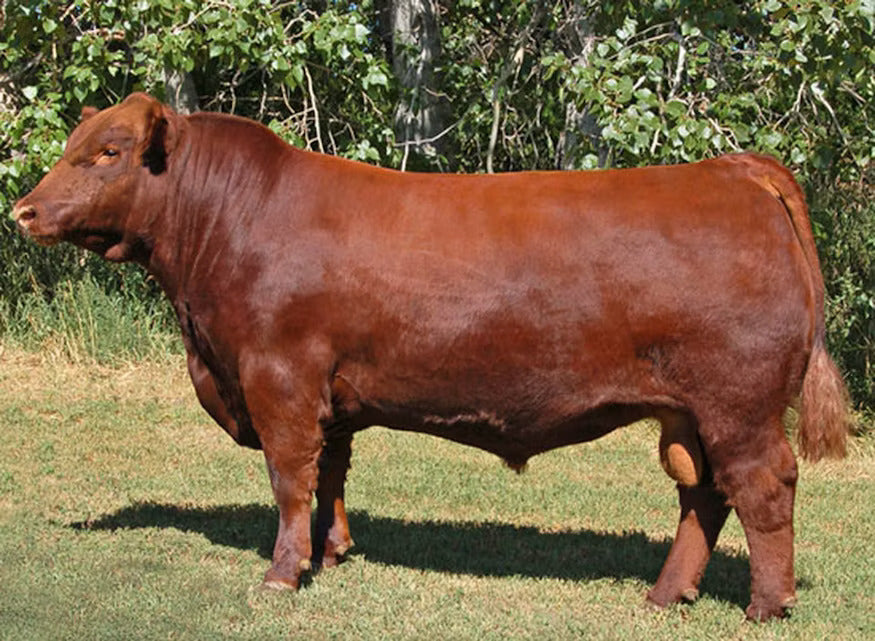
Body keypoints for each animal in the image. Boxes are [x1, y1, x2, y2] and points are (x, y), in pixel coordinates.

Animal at [12, 93, 850, 621]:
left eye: (108, 151)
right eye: (72, 148)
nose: (22, 209)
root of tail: (730, 168)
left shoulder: (278, 379)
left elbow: (289, 479)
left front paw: (283, 572)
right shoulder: (328, 394)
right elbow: (331, 474)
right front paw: (334, 552)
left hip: (738, 404)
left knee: (762, 488)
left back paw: (765, 604)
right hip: (690, 413)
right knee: (702, 495)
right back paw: (665, 593)